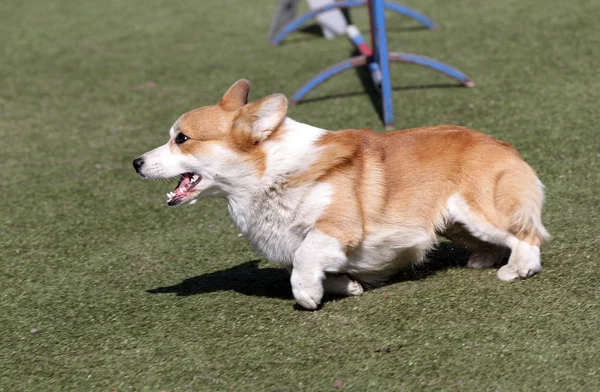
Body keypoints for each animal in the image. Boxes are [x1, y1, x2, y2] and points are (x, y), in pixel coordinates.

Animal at [135, 79, 548, 310]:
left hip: (476, 209)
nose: (136, 162)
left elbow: (304, 258)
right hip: (454, 223)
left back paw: (517, 268)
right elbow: (316, 266)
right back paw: (482, 259)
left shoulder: (337, 227)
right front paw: (347, 286)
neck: (268, 175)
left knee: (526, 236)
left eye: (181, 138)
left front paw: (307, 296)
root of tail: (502, 145)